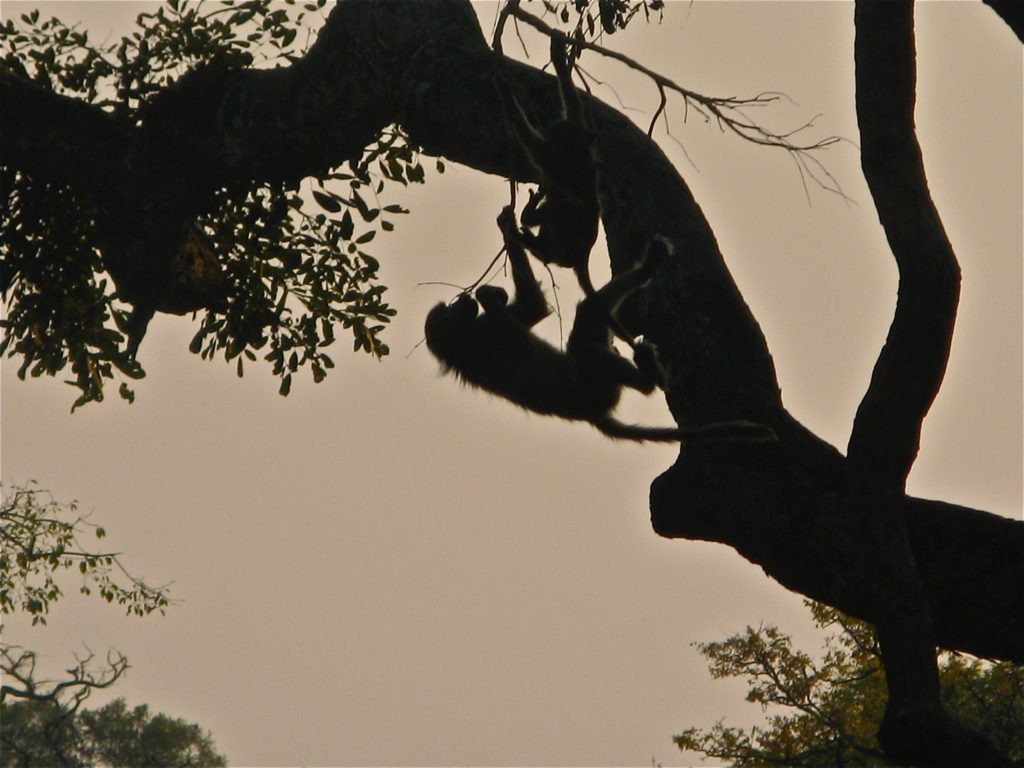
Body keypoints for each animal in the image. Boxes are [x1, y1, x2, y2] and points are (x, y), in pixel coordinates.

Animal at [423, 207, 774, 444]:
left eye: (450, 306)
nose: (461, 301)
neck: (459, 341)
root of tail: (591, 415)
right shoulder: (480, 341)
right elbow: (521, 330)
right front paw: (488, 293)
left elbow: (532, 308)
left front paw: (506, 226)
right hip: (597, 389)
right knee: (590, 355)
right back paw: (650, 375)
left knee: (589, 311)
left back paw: (647, 268)